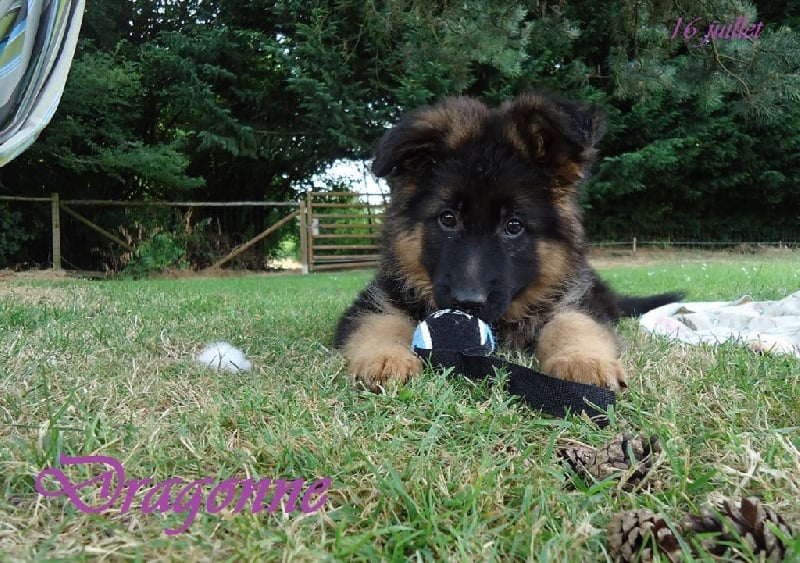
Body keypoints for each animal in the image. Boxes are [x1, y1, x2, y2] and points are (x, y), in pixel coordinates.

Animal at [334, 92, 682, 392]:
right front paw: (386, 358)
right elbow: (380, 323)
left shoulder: (576, 301)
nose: (467, 303)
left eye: (513, 226)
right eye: (448, 218)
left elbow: (574, 323)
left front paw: (583, 362)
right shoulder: (375, 300)